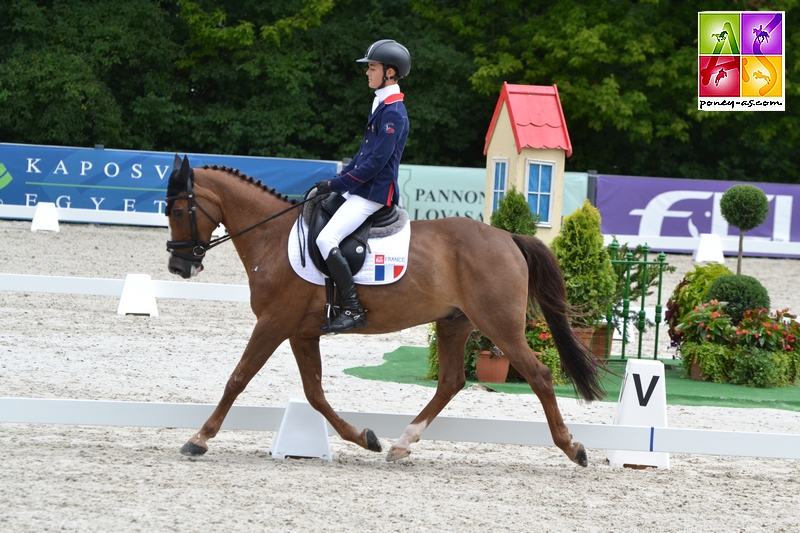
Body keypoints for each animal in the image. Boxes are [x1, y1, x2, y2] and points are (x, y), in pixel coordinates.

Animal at [164, 156, 600, 464]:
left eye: (178, 211)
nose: (178, 267)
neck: (270, 236)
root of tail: (508, 237)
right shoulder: (301, 332)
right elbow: (314, 393)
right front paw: (365, 438)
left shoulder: (273, 324)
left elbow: (237, 379)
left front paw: (198, 438)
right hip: (454, 323)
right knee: (451, 381)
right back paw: (402, 443)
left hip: (499, 325)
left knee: (539, 376)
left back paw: (573, 448)